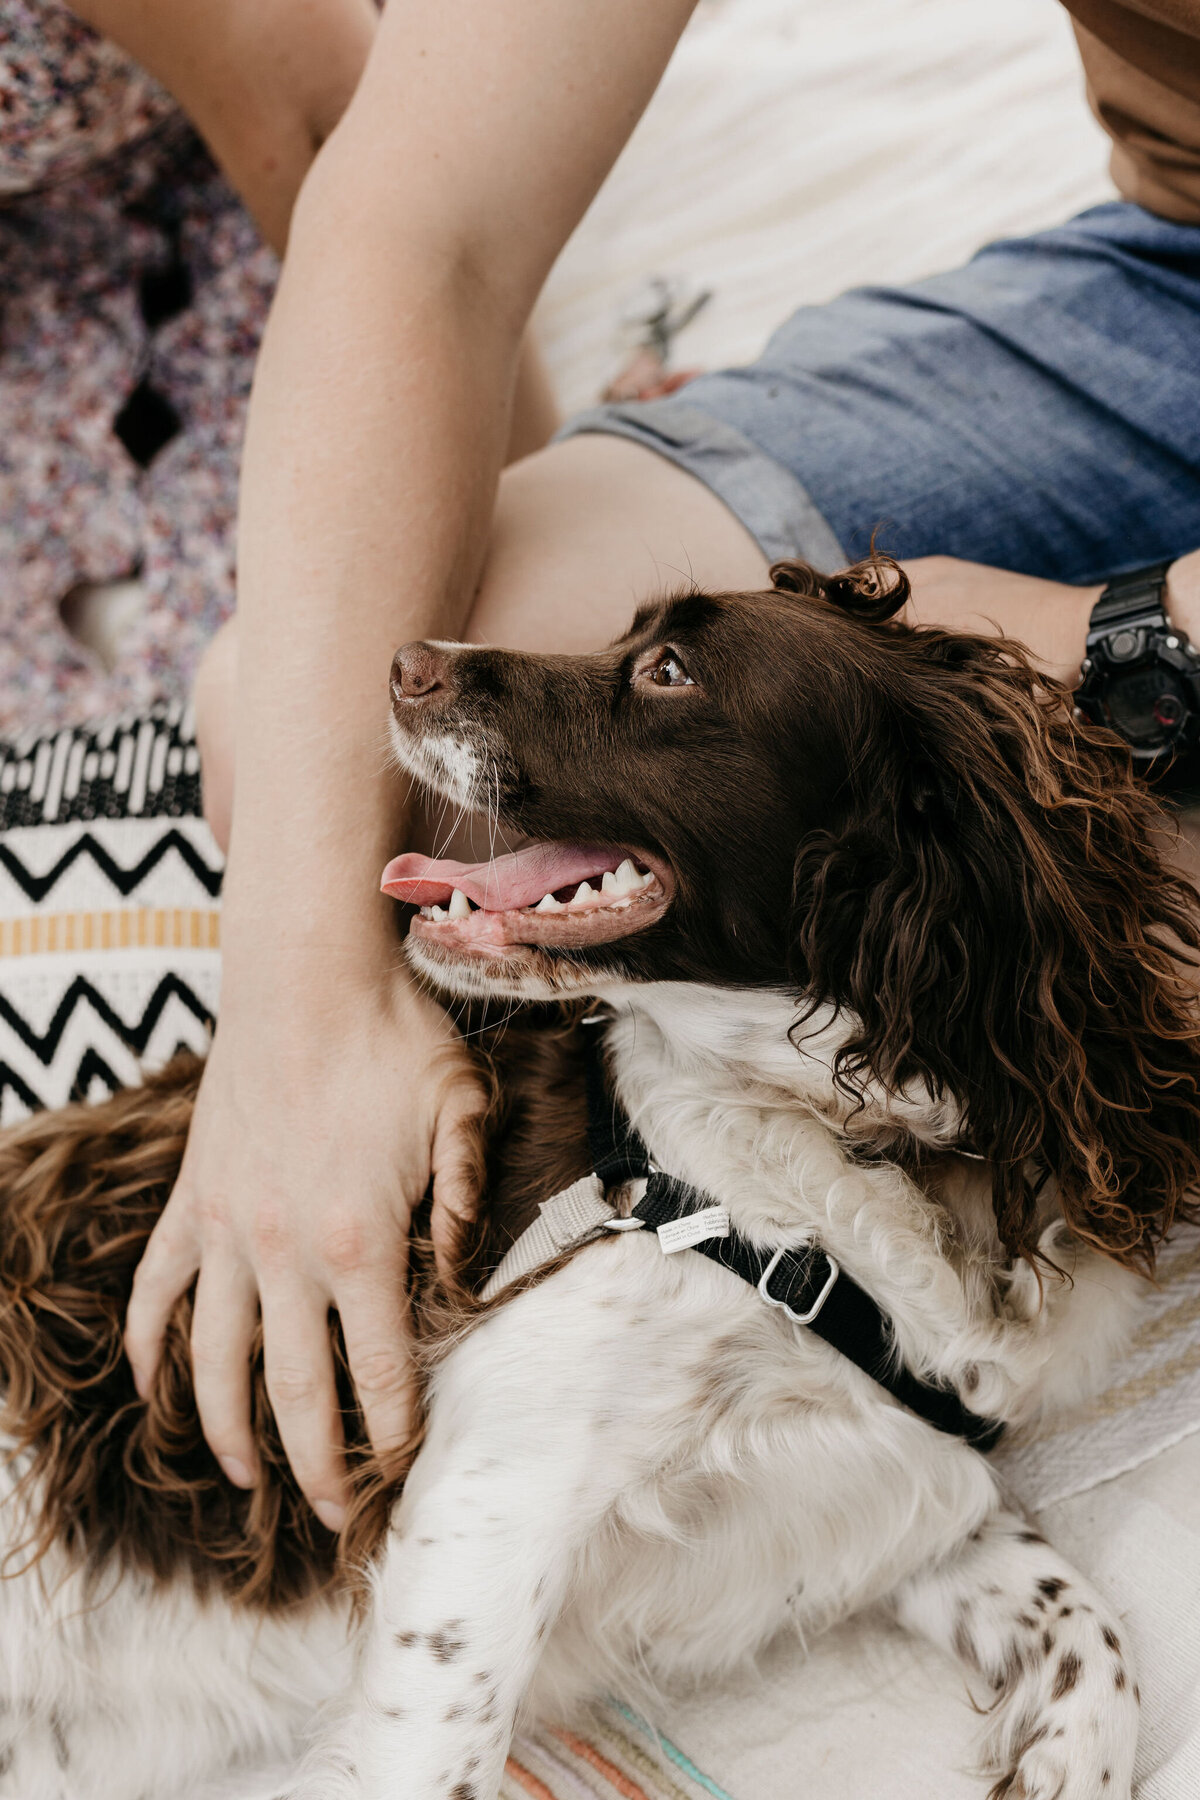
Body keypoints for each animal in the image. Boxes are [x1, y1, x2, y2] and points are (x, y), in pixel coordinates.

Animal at [2, 554, 1200, 1792]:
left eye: (669, 670)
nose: (404, 662)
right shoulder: (493, 1502)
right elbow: (438, 1760)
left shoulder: (898, 1488)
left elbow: (1094, 1636)